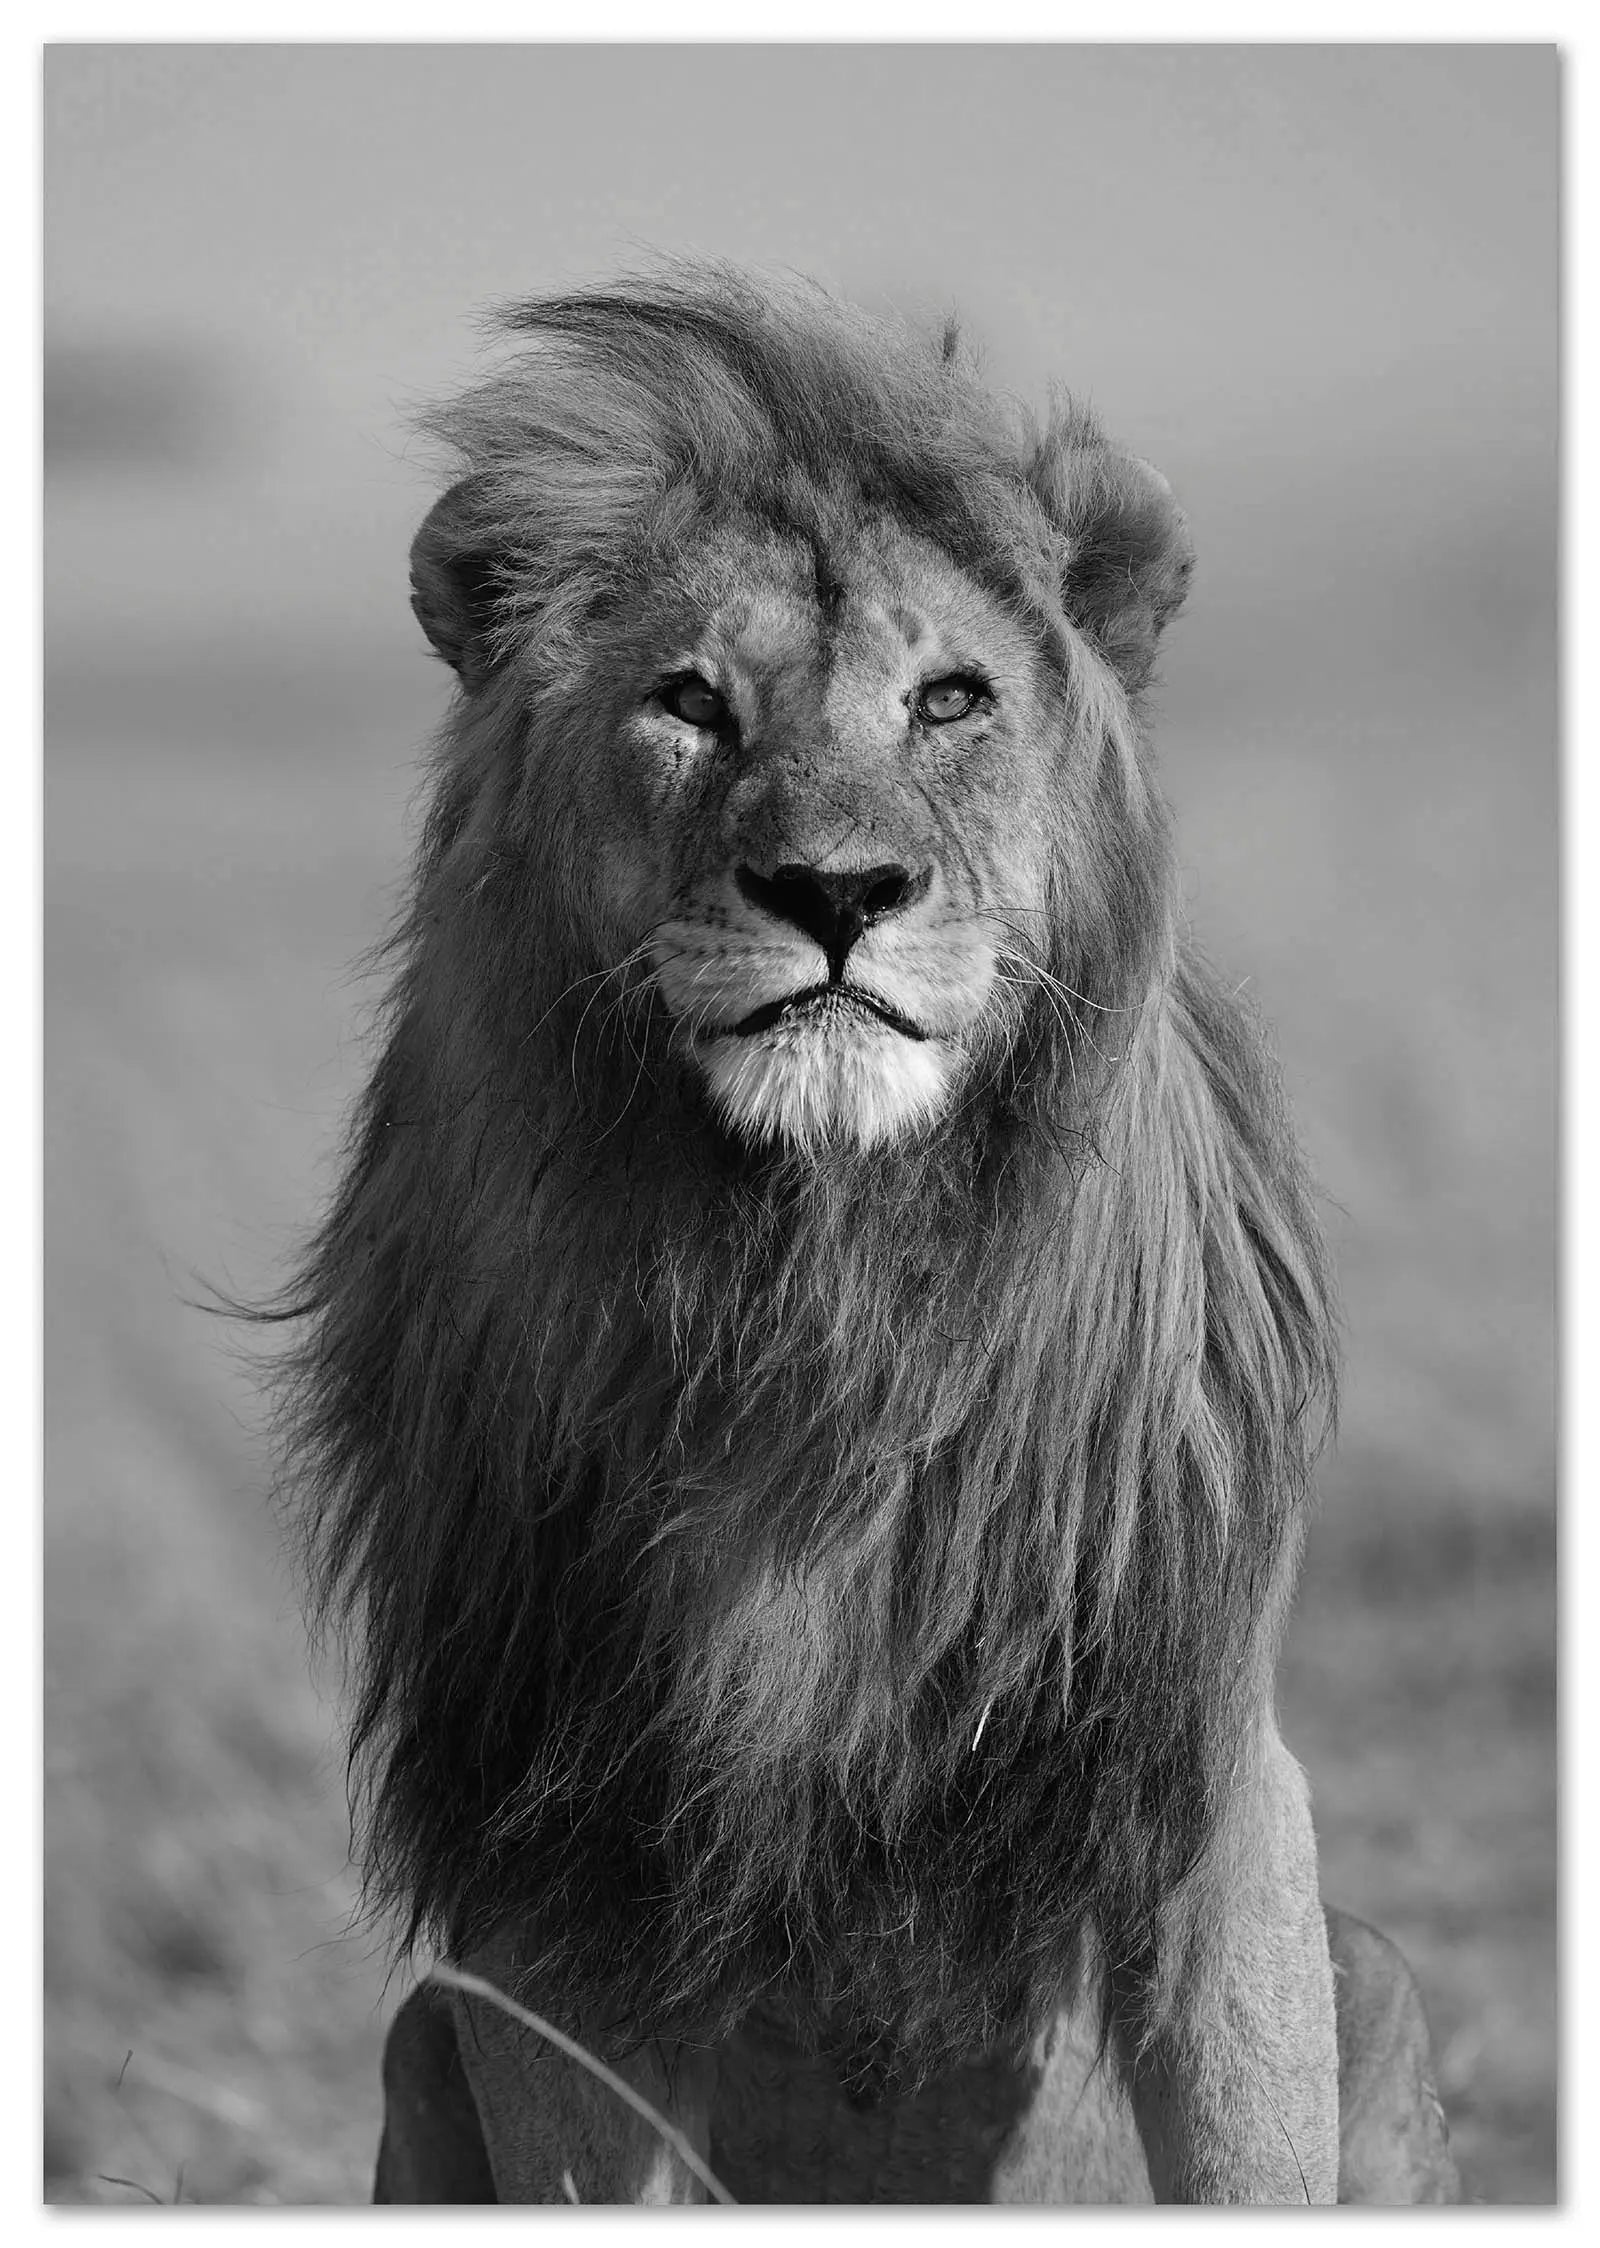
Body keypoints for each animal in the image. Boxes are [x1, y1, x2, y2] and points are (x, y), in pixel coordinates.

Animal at [282, 265, 1457, 2203]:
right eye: (689, 701)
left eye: (952, 699)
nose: (834, 891)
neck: (817, 1287)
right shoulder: (548, 1858)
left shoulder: (1199, 1775)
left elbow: (1244, 2149)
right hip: (420, 2033)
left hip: (1376, 1964)